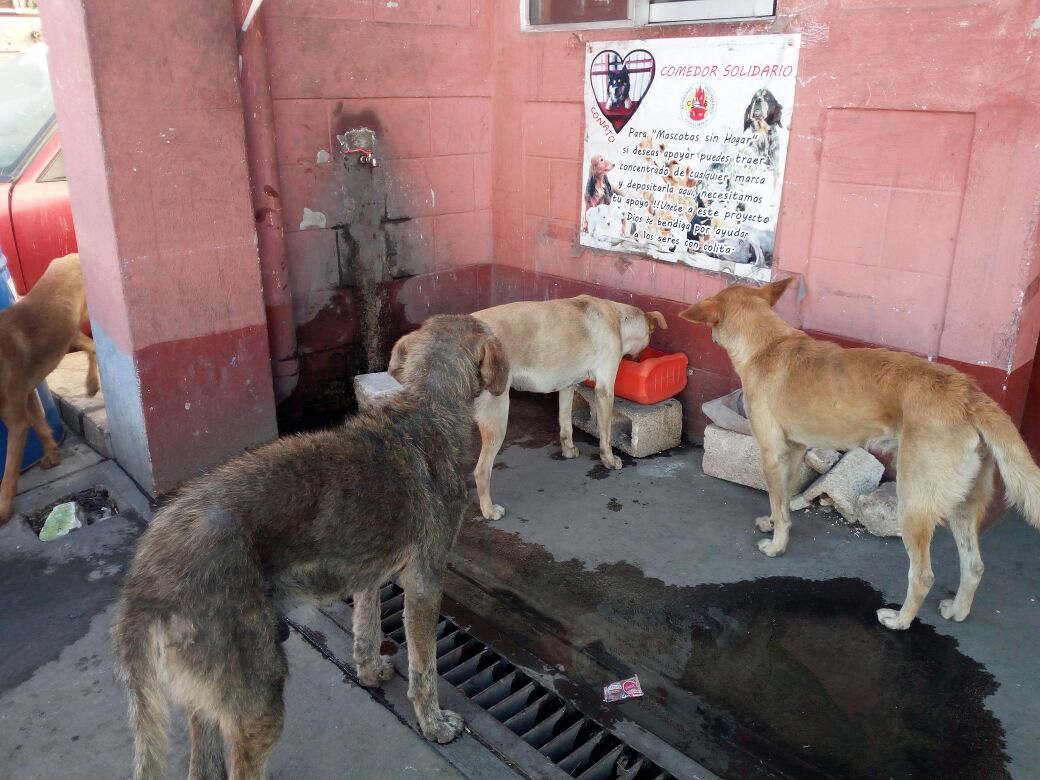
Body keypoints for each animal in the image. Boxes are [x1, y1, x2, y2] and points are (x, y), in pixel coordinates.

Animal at [0, 254, 97, 526]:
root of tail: (72, 256)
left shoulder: (16, 421)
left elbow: (9, 469)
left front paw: (3, 508)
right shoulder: (28, 393)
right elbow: (41, 425)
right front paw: (53, 456)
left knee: (95, 347)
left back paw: (92, 383)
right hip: (69, 333)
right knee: (92, 348)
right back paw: (92, 383)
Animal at [111, 316, 509, 780]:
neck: (426, 408)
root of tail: (144, 579)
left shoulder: (368, 575)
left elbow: (367, 632)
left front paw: (371, 672)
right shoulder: (425, 582)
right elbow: (424, 669)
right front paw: (435, 725)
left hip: (209, 704)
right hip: (260, 700)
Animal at [678, 278, 1040, 632]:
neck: (768, 344)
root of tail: (968, 393)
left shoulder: (772, 452)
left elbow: (776, 499)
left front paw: (777, 546)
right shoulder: (794, 450)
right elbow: (782, 500)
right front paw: (774, 524)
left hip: (914, 502)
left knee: (923, 575)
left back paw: (899, 621)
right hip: (963, 505)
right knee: (974, 565)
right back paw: (958, 610)